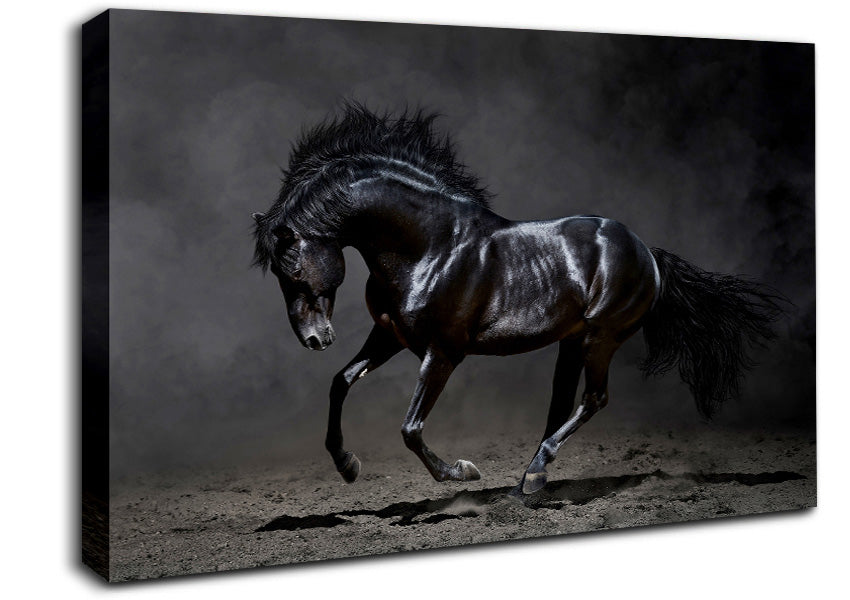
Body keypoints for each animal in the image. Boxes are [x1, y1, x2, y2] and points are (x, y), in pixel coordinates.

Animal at [252, 103, 782, 494]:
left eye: (291, 269)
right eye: (275, 274)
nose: (315, 339)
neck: (429, 246)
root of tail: (647, 252)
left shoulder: (442, 352)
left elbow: (410, 428)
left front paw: (461, 472)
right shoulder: (391, 336)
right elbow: (341, 382)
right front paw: (347, 465)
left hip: (602, 337)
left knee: (593, 399)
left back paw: (534, 475)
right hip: (572, 342)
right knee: (561, 406)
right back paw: (530, 478)